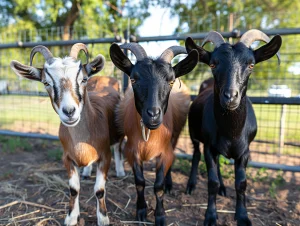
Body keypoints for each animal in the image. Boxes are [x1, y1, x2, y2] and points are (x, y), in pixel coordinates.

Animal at [9, 43, 124, 225]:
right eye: (46, 82)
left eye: (83, 79)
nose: (69, 111)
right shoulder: (67, 158)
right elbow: (73, 189)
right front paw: (71, 217)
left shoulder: (105, 156)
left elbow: (99, 190)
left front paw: (103, 218)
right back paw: (86, 172)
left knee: (119, 147)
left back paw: (120, 171)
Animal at [110, 42, 199, 226]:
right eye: (133, 79)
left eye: (171, 81)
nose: (153, 114)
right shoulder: (132, 152)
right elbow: (140, 182)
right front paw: (141, 211)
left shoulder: (164, 153)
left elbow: (158, 185)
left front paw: (160, 215)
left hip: (175, 137)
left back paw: (170, 184)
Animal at [185, 30, 282, 226]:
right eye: (213, 64)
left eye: (251, 65)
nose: (230, 96)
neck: (232, 133)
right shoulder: (209, 147)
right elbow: (211, 182)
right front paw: (210, 216)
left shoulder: (245, 151)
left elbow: (241, 183)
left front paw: (243, 216)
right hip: (193, 134)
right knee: (196, 155)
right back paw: (191, 185)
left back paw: (223, 188)